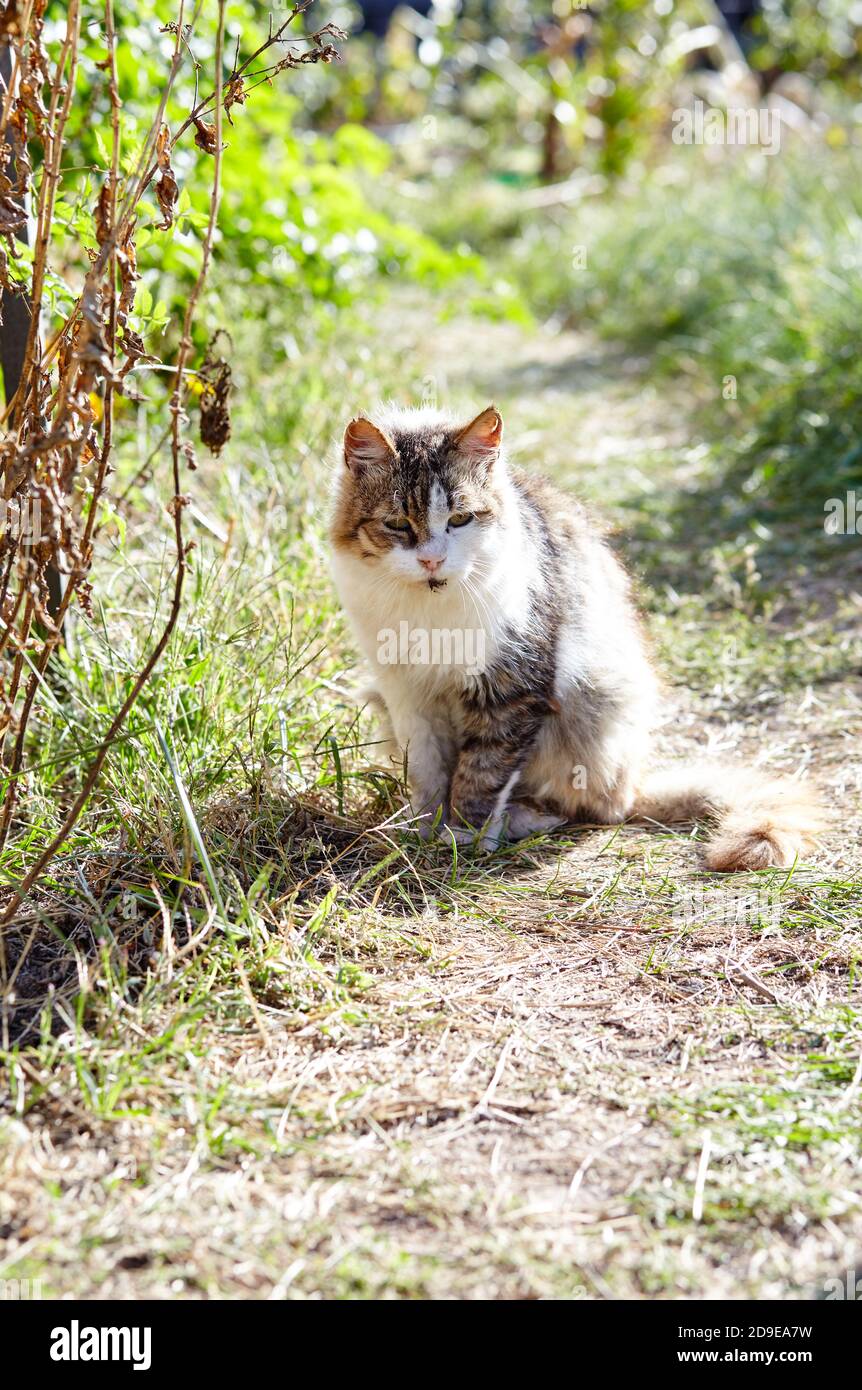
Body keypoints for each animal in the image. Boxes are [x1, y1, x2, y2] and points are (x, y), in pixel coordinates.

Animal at [326, 403, 823, 867]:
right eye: (398, 525)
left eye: (461, 520)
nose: (432, 560)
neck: (429, 609)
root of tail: (634, 781)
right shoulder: (407, 693)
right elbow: (428, 772)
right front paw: (425, 829)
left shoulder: (513, 687)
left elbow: (482, 773)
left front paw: (464, 835)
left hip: (591, 705)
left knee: (592, 808)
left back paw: (522, 820)